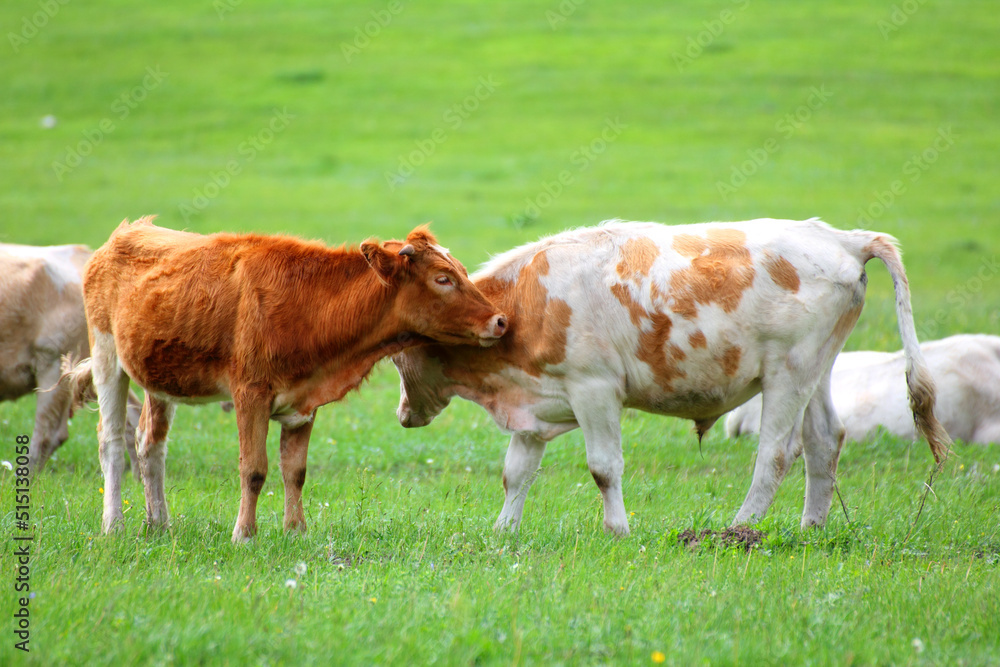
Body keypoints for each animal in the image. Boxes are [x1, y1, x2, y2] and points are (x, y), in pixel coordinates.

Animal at [74, 219, 508, 544]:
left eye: (461, 272)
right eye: (443, 279)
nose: (501, 320)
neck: (308, 307)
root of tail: (123, 235)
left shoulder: (303, 403)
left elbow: (294, 471)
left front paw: (296, 531)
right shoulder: (250, 393)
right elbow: (254, 469)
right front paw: (244, 535)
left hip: (159, 378)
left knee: (150, 444)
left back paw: (158, 523)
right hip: (107, 357)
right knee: (111, 442)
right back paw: (114, 525)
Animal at [392, 222, 952, 536]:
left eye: (396, 358)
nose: (401, 415)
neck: (525, 303)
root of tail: (842, 239)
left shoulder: (595, 390)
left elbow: (604, 468)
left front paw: (617, 530)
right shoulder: (535, 408)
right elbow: (517, 472)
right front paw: (504, 531)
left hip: (789, 373)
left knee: (776, 453)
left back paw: (738, 529)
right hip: (818, 368)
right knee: (824, 441)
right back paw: (811, 527)